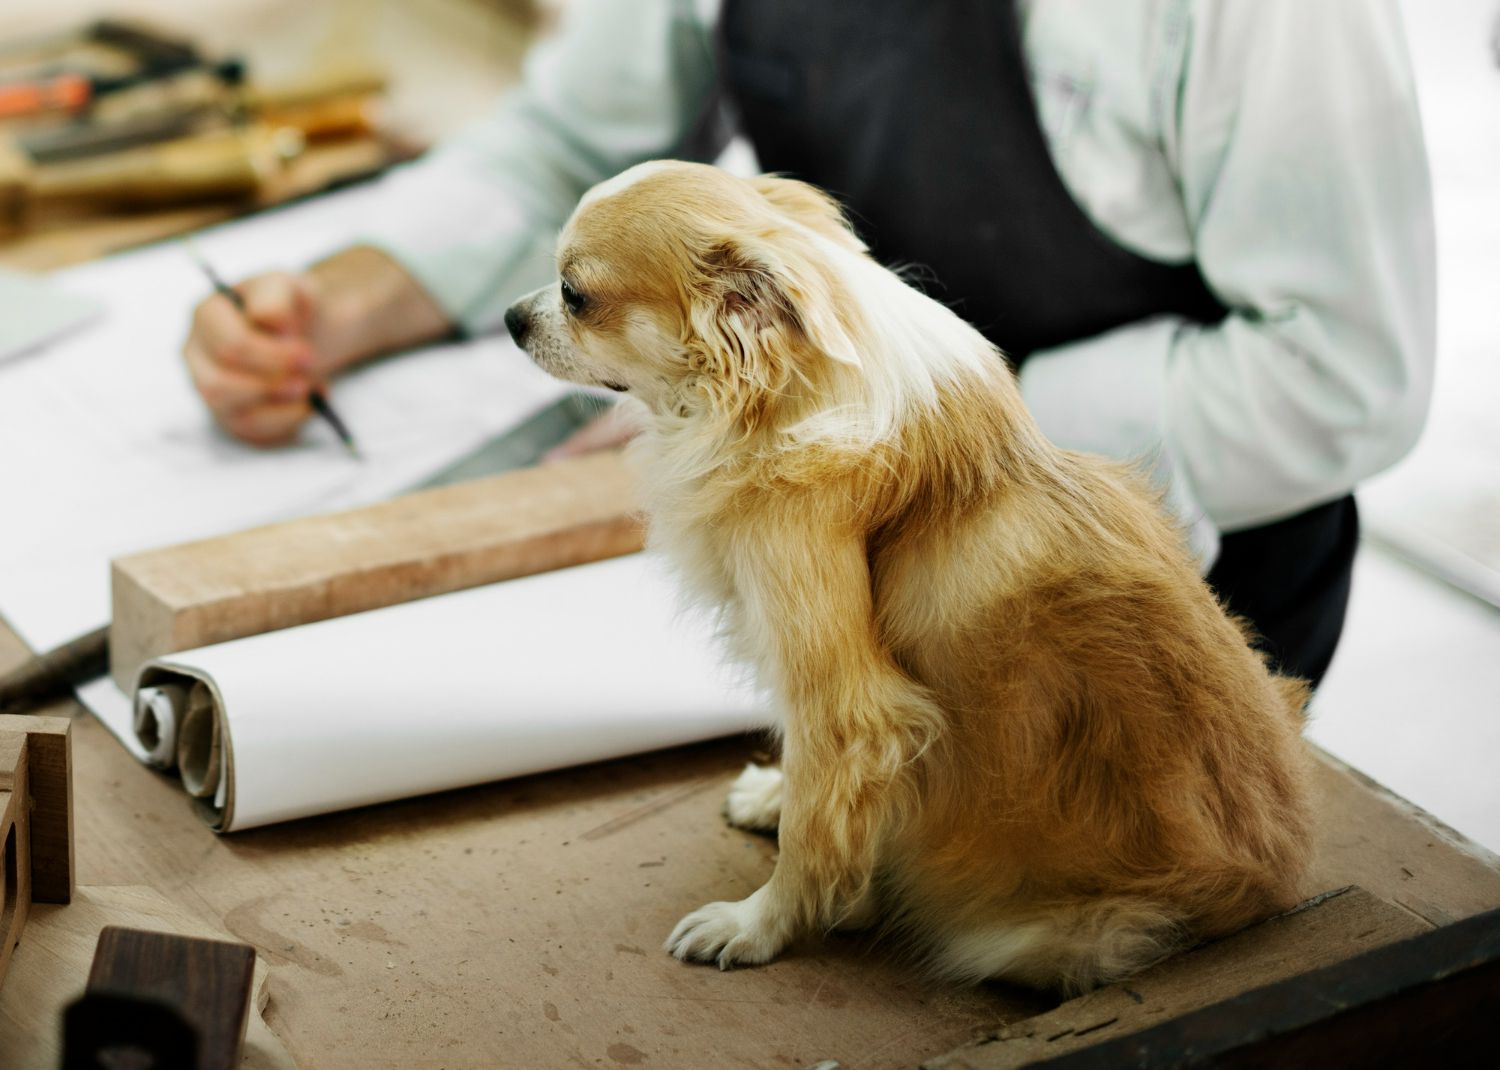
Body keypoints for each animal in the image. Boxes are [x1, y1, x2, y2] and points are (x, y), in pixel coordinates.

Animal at [504, 158, 1314, 990]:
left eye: (574, 295)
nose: (511, 316)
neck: (767, 403)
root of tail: (1271, 890)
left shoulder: (845, 695)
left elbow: (817, 817)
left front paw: (761, 924)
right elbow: (819, 785)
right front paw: (776, 796)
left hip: (1047, 938)